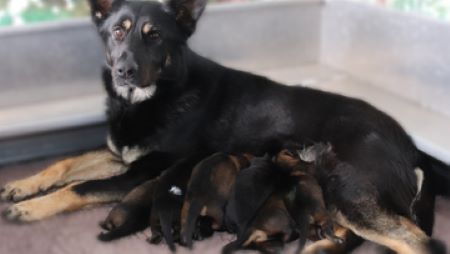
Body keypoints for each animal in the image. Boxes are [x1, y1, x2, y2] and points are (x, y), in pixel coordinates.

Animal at [1, 0, 448, 252]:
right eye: (117, 32)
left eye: (154, 36)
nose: (124, 72)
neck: (161, 93)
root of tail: (410, 146)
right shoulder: (121, 155)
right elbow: (67, 164)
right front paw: (21, 186)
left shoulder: (140, 173)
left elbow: (79, 186)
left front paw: (30, 208)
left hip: (347, 188)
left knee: (421, 243)